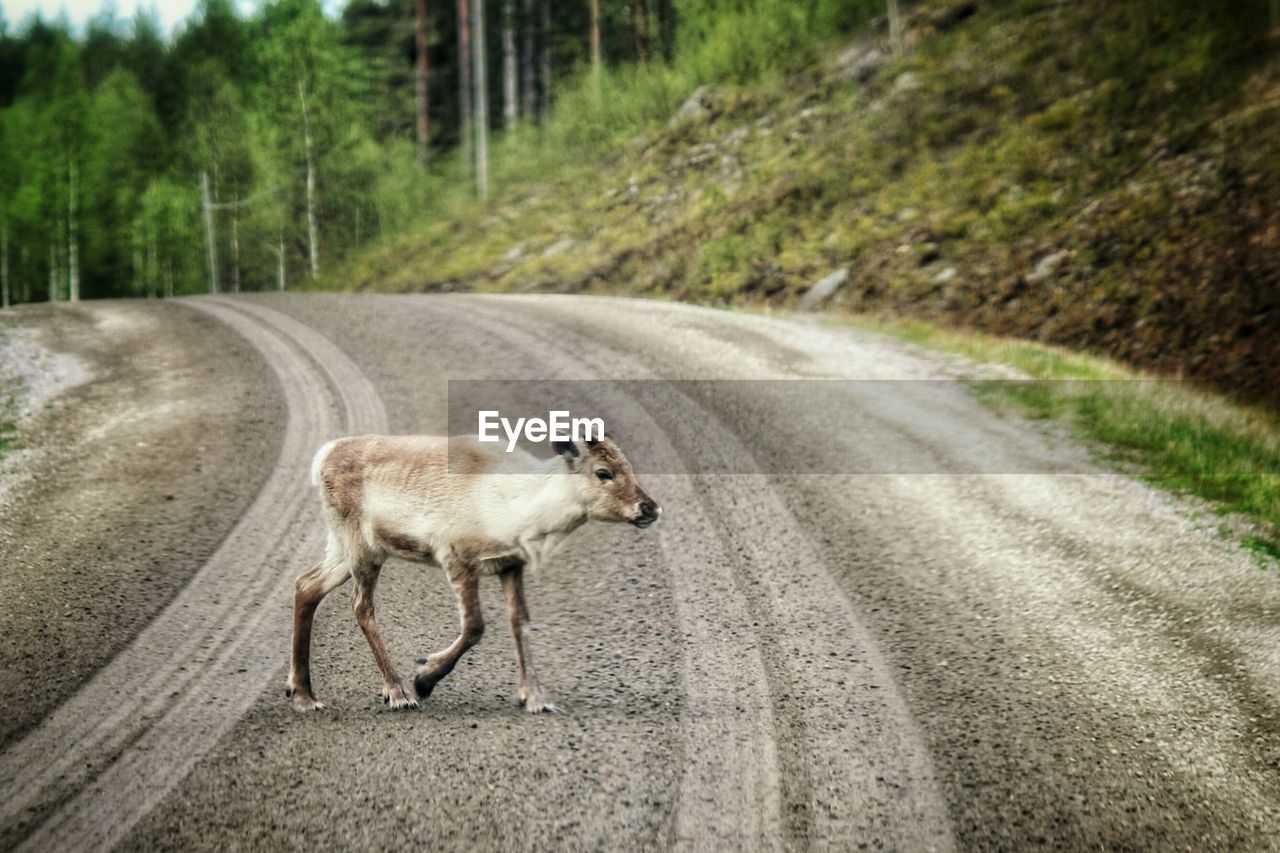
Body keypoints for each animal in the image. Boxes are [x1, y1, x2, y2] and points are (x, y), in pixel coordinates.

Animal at [289, 432, 660, 712]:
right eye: (603, 471)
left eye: (628, 465)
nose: (651, 508)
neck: (518, 504)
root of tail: (322, 456)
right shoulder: (455, 555)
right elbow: (474, 626)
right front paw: (424, 678)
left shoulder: (511, 564)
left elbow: (520, 623)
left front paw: (536, 698)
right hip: (362, 547)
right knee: (361, 606)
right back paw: (398, 693)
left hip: (343, 548)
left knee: (306, 585)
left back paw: (303, 695)